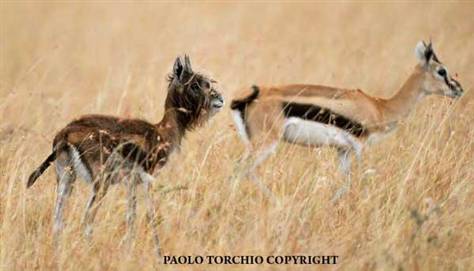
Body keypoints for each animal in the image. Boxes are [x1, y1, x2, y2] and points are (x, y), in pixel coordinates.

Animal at [27, 55, 224, 258]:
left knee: (58, 219)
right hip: (100, 183)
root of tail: (65, 134)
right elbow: (150, 216)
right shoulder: (146, 180)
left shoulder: (131, 184)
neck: (161, 132)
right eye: (195, 84)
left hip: (66, 180)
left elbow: (131, 217)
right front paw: (158, 254)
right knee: (87, 217)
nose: (220, 99)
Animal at [231, 40, 464, 202]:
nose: (459, 89)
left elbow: (345, 184)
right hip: (266, 144)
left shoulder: (342, 150)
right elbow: (361, 181)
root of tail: (247, 98)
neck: (380, 107)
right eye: (441, 71)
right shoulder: (361, 147)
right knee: (242, 170)